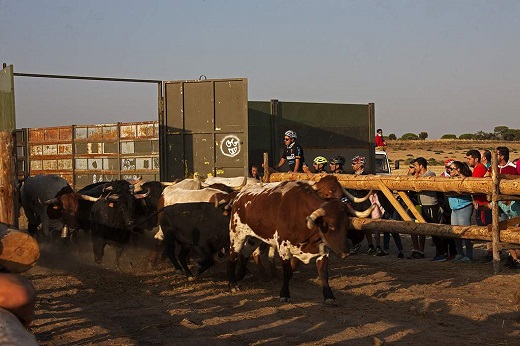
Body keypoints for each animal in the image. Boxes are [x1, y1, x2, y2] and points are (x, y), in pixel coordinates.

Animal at [226, 180, 370, 304]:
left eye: (346, 224)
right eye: (331, 225)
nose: (345, 253)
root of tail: (240, 195)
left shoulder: (323, 250)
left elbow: (323, 273)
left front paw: (329, 296)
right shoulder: (283, 248)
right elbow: (287, 272)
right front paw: (284, 294)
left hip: (253, 238)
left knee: (244, 254)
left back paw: (240, 276)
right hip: (237, 235)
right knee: (233, 257)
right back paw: (232, 284)